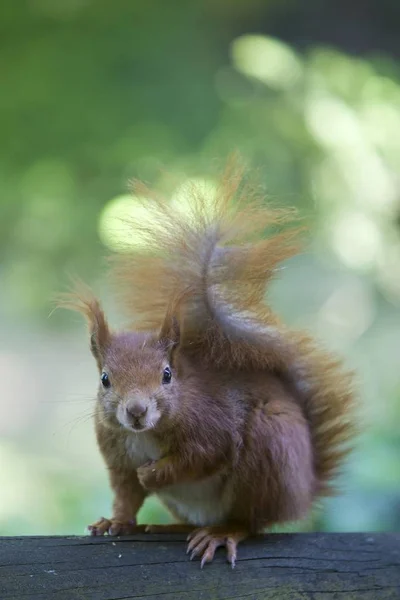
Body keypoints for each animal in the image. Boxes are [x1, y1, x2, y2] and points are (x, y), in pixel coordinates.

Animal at [59, 158, 356, 568]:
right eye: (104, 379)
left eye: (167, 374)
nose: (135, 411)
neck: (145, 433)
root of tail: (304, 490)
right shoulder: (117, 457)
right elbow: (126, 493)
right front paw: (114, 522)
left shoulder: (213, 425)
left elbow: (201, 458)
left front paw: (153, 474)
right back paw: (171, 527)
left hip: (267, 454)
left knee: (250, 521)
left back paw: (220, 533)